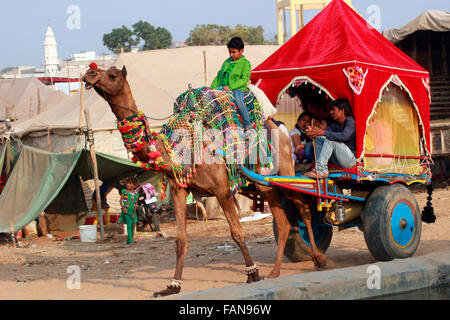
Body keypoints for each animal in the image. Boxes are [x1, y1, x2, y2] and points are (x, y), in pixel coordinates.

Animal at [82, 65, 326, 298]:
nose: (89, 73)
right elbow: (180, 240)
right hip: (264, 184)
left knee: (303, 208)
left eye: (113, 75)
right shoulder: (179, 189)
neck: (179, 149)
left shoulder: (222, 189)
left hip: (285, 168)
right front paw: (172, 285)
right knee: (283, 222)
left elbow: (237, 232)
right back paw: (275, 272)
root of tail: (278, 128)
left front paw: (252, 273)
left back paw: (318, 258)